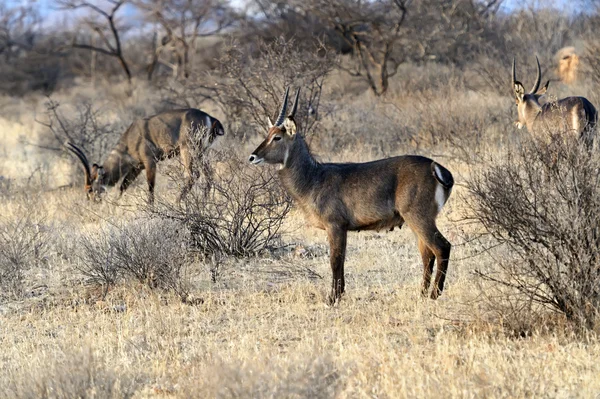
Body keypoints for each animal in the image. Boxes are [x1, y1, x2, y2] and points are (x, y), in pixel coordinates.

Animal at [66, 108, 225, 203]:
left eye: (90, 189)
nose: (91, 203)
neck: (130, 138)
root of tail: (209, 117)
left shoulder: (150, 162)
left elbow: (150, 187)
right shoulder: (137, 167)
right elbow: (122, 187)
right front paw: (115, 206)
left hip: (189, 149)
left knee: (193, 174)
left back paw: (177, 202)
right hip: (201, 152)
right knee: (208, 174)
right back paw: (204, 203)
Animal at [250, 87, 454, 304]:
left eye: (277, 137)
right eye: (267, 134)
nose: (252, 157)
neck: (313, 177)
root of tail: (436, 166)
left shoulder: (335, 225)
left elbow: (335, 260)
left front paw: (332, 298)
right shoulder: (342, 228)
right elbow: (341, 260)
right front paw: (339, 294)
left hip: (419, 217)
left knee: (442, 247)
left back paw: (434, 294)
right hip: (415, 220)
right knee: (427, 254)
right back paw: (422, 294)